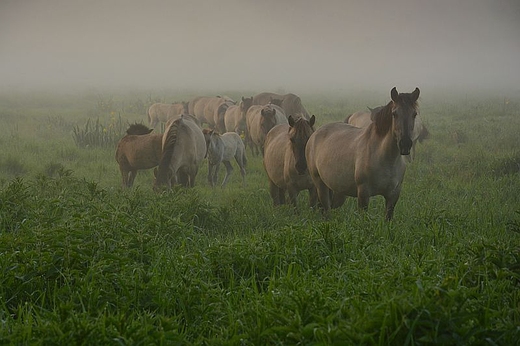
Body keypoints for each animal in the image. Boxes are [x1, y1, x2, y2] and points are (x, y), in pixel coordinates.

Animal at [306, 88, 420, 220]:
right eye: (394, 114)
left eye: (414, 114)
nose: (405, 144)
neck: (386, 159)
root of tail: (314, 134)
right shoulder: (364, 194)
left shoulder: (393, 195)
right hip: (320, 184)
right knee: (326, 209)